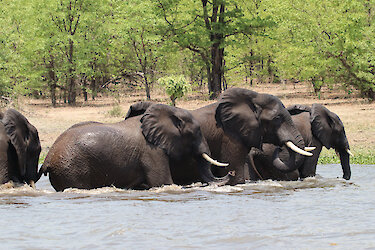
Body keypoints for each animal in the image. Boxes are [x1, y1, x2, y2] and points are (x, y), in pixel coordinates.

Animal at [40, 102, 229, 190]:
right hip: (72, 168)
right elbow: (163, 183)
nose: (230, 173)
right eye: (196, 132)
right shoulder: (151, 151)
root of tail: (48, 158)